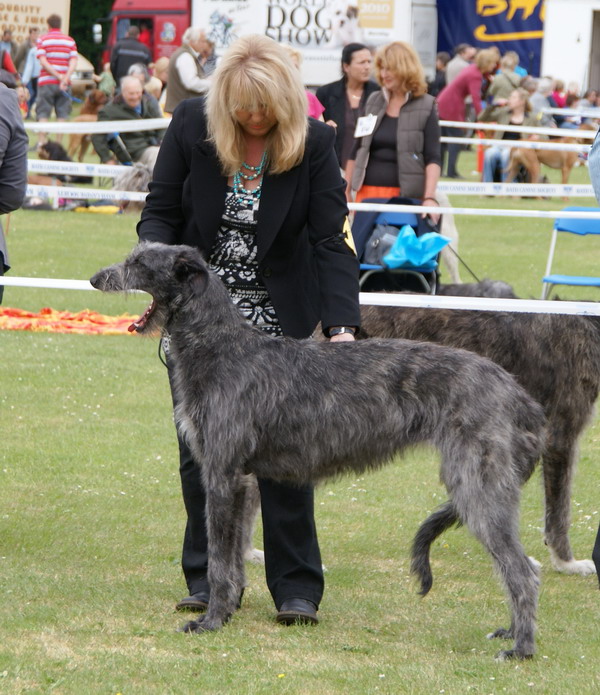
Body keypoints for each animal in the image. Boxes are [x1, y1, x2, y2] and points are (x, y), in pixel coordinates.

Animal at [91, 245, 548, 664]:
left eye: (139, 263)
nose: (96, 278)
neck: (223, 348)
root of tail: (518, 393)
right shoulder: (243, 479)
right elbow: (235, 555)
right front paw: (229, 609)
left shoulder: (221, 473)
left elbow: (220, 558)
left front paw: (211, 620)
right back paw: (512, 632)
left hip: (478, 484)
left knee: (523, 570)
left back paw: (522, 647)